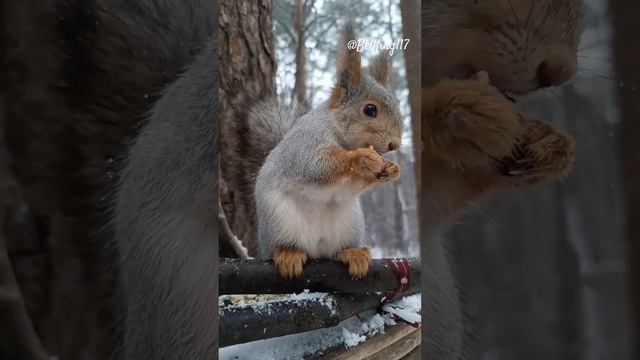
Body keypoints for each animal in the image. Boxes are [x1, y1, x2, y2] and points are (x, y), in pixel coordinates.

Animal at [252, 26, 402, 278]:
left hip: (350, 224)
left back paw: (353, 253)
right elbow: (317, 167)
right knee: (281, 247)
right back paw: (288, 254)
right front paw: (363, 158)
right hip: (279, 220)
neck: (343, 138)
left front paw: (391, 169)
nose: (396, 144)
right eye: (370, 110)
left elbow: (349, 187)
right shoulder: (306, 144)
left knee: (337, 250)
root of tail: (316, 248)